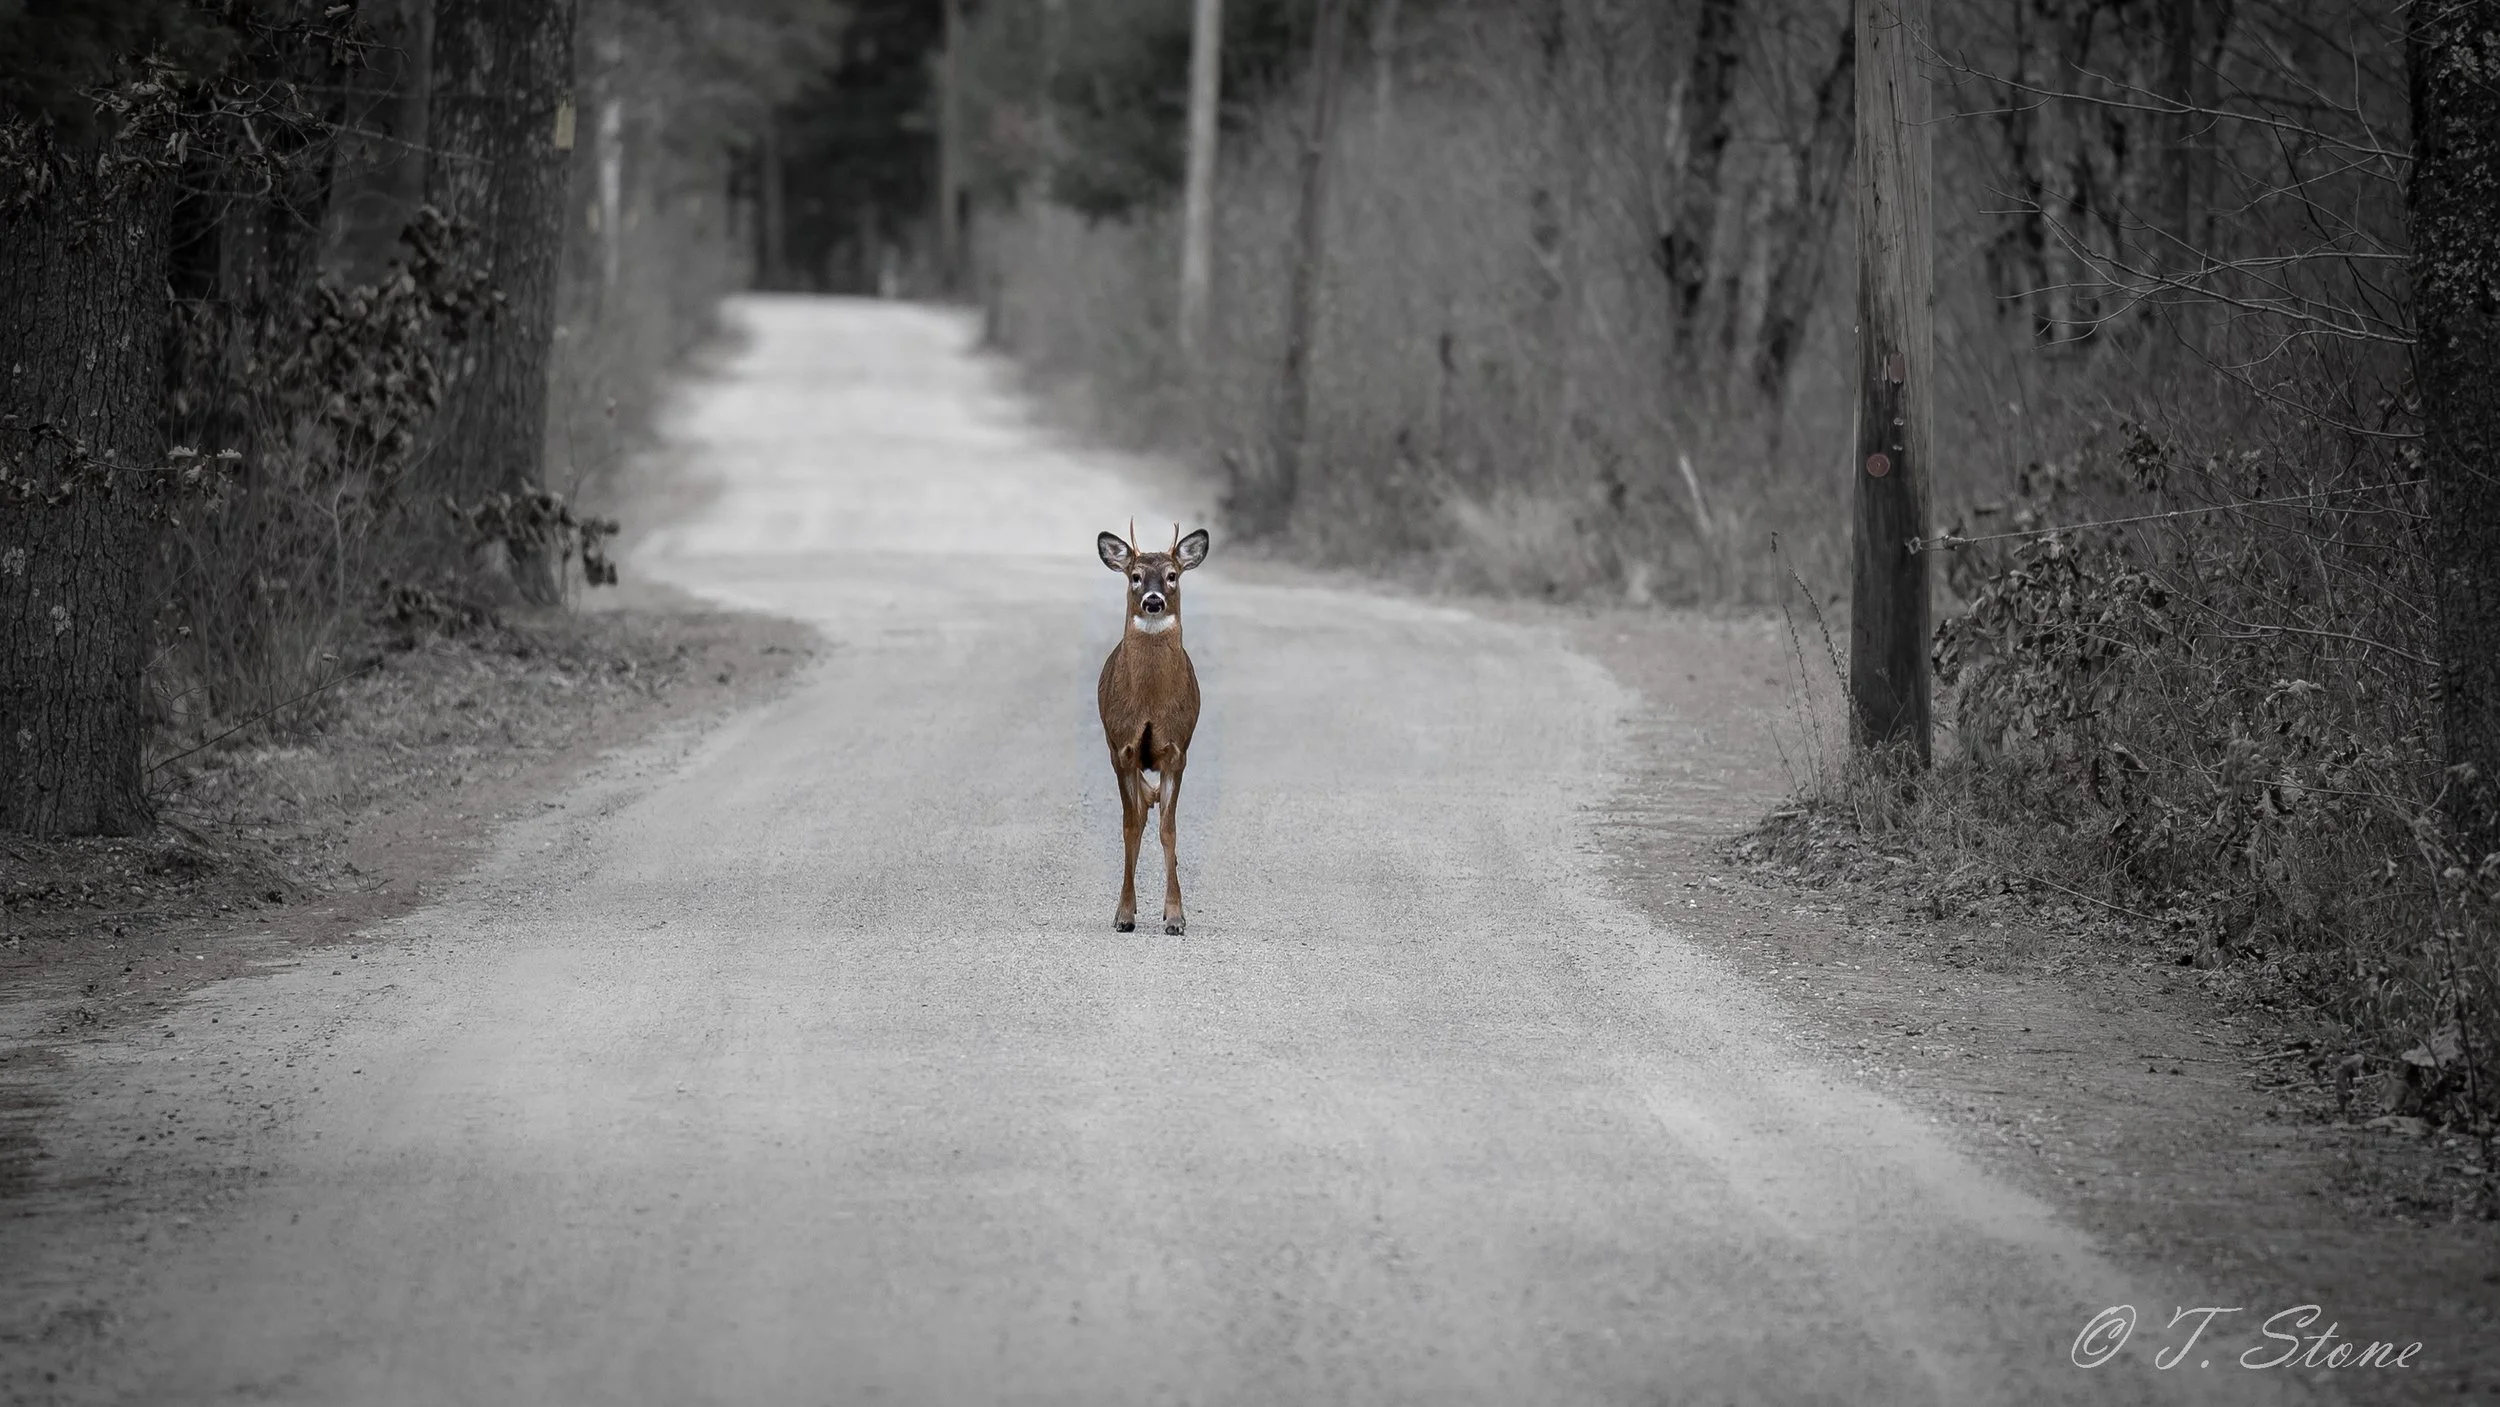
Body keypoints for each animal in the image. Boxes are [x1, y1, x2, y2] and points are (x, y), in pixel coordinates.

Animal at [1096, 521, 1210, 935]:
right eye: (1135, 576)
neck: (1149, 703)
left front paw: (1175, 916)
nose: (1153, 600)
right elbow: (1131, 826)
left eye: (1173, 575)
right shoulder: (1122, 749)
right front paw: (1124, 914)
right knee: (1140, 813)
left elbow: (1168, 829)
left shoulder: (1177, 751)